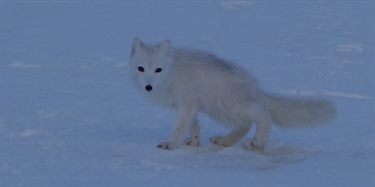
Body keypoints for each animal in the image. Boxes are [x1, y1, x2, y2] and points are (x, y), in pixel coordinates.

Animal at [129, 38, 338, 150]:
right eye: (141, 69)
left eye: (158, 70)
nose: (148, 87)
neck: (171, 73)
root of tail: (253, 86)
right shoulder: (192, 104)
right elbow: (193, 124)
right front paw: (195, 142)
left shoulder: (187, 102)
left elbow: (180, 126)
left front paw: (171, 145)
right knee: (245, 124)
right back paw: (224, 141)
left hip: (225, 106)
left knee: (263, 115)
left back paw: (257, 143)